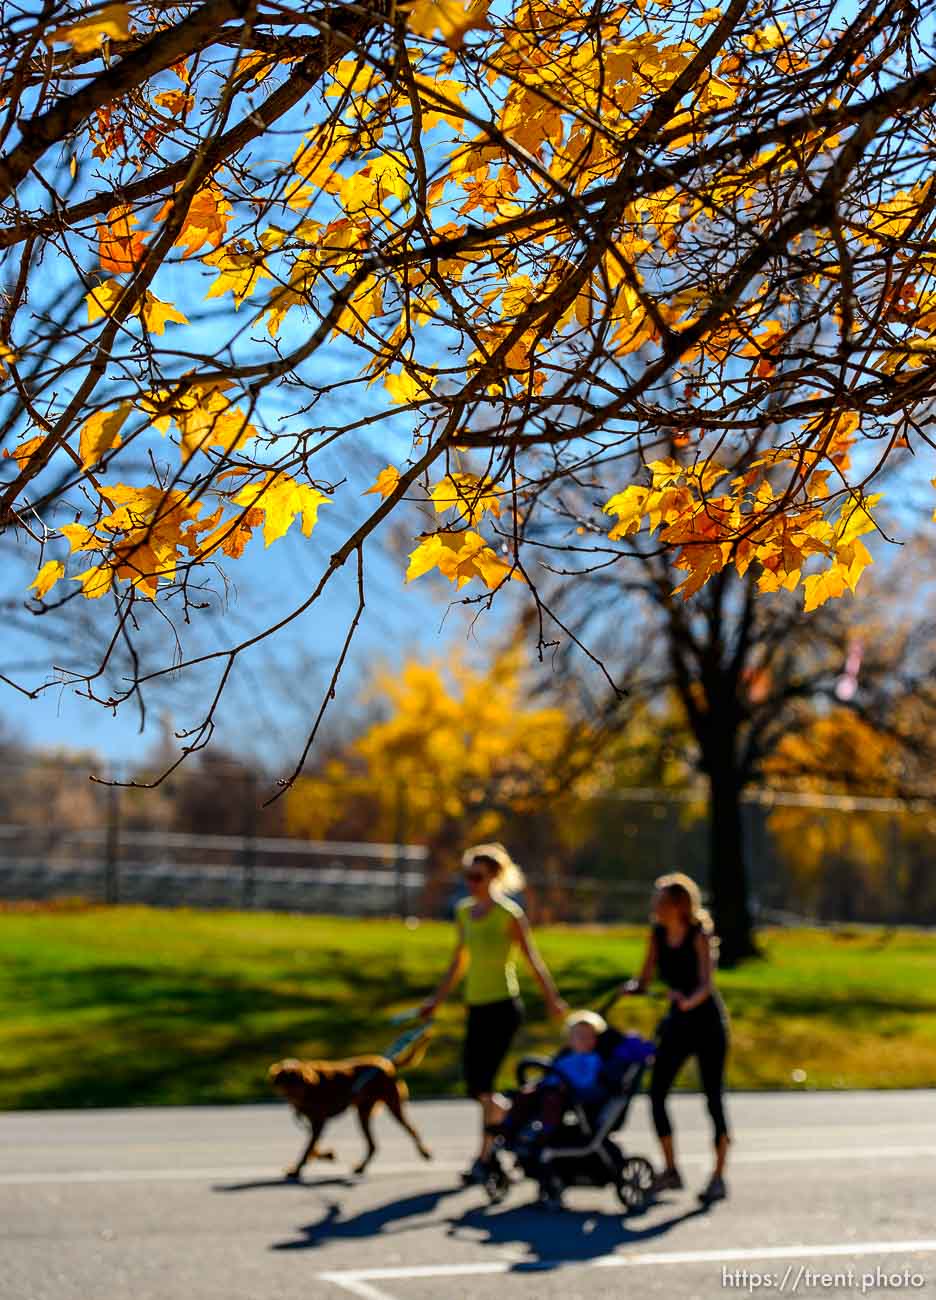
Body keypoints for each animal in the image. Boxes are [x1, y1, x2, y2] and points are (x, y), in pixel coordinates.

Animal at [269, 1040, 434, 1175]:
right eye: (286, 1086)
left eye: (297, 1084)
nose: (294, 1098)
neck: (310, 1089)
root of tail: (386, 1064)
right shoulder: (314, 1123)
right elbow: (312, 1147)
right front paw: (325, 1155)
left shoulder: (319, 1122)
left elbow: (307, 1148)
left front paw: (298, 1169)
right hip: (363, 1112)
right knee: (373, 1145)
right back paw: (361, 1167)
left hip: (392, 1105)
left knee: (411, 1130)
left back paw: (424, 1153)